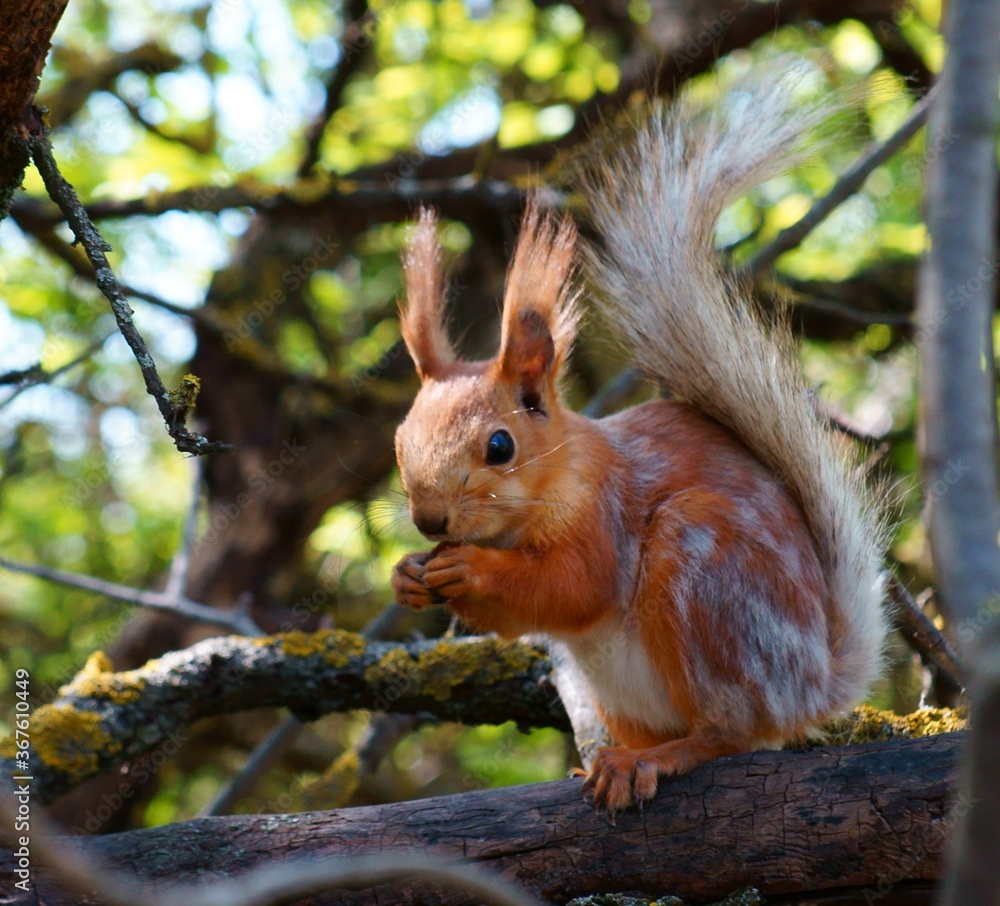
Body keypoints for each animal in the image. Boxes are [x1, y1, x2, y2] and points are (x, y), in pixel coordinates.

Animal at [390, 71, 889, 815]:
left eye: (500, 446)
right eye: (398, 441)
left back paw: (660, 758)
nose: (429, 520)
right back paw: (610, 761)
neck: (560, 475)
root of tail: (813, 684)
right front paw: (406, 577)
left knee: (732, 733)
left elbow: (576, 585)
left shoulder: (608, 512)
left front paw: (470, 571)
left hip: (706, 581)